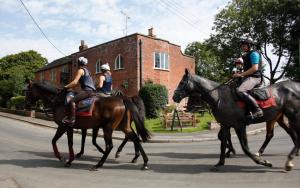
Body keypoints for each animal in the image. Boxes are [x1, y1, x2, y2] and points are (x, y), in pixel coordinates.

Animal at [172, 68, 300, 171]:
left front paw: (263, 162)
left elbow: (244, 147)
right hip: (279, 117)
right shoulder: (225, 125)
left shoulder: (239, 126)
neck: (219, 97)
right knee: (286, 133)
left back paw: (288, 160)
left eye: (182, 82)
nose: (174, 97)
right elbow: (223, 142)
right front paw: (220, 162)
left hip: (292, 117)